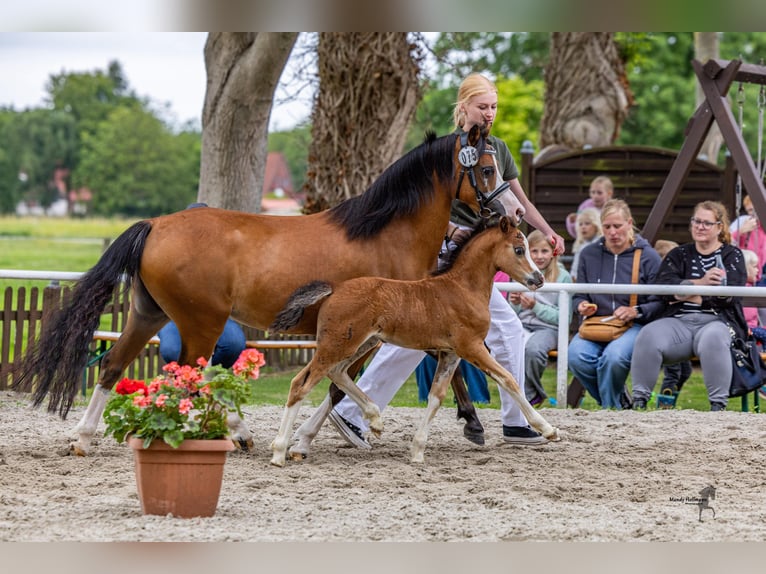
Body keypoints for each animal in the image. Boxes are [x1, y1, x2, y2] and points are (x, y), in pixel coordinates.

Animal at [12, 124, 524, 456]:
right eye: (488, 170)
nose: (513, 215)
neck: (384, 232)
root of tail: (155, 224)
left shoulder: (391, 329)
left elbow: (345, 380)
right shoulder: (371, 330)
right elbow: (338, 383)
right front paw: (313, 438)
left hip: (148, 313)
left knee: (114, 365)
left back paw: (84, 438)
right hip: (201, 322)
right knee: (192, 375)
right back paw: (229, 433)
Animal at [268, 215, 561, 466]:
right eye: (519, 249)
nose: (538, 279)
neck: (462, 289)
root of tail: (334, 289)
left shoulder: (450, 353)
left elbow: (436, 396)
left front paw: (418, 451)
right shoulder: (472, 347)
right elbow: (508, 379)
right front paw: (548, 430)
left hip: (359, 343)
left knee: (337, 373)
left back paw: (374, 420)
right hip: (337, 345)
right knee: (301, 383)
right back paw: (280, 452)